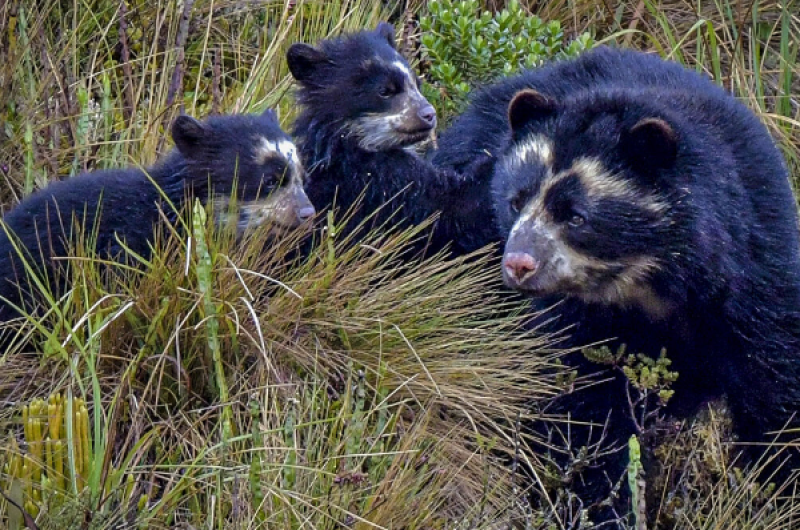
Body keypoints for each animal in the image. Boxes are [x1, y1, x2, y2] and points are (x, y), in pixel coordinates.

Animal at [286, 22, 497, 258]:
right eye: (385, 90)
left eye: (416, 83)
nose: (429, 114)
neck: (349, 143)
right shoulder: (376, 186)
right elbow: (449, 211)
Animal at [481, 46, 800, 525]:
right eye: (515, 201)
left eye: (576, 216)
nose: (519, 264)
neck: (652, 284)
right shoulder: (575, 321)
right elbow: (581, 408)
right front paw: (601, 505)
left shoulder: (758, 277)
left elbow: (777, 394)